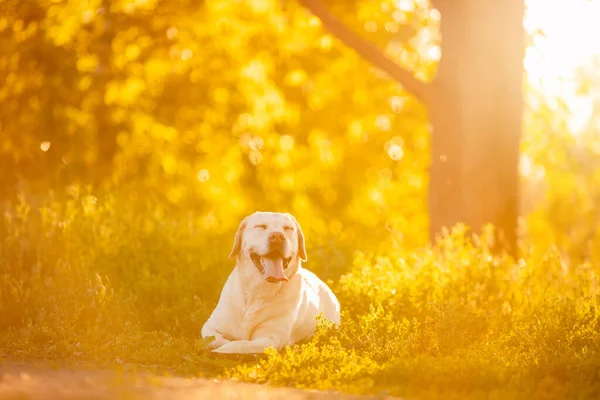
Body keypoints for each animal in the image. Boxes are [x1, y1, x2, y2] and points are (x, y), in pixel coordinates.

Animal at [202, 212, 340, 354]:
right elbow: (213, 340)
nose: (277, 237)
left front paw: (221, 350)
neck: (258, 290)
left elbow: (238, 345)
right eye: (260, 226)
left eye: (288, 228)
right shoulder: (210, 326)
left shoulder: (269, 340)